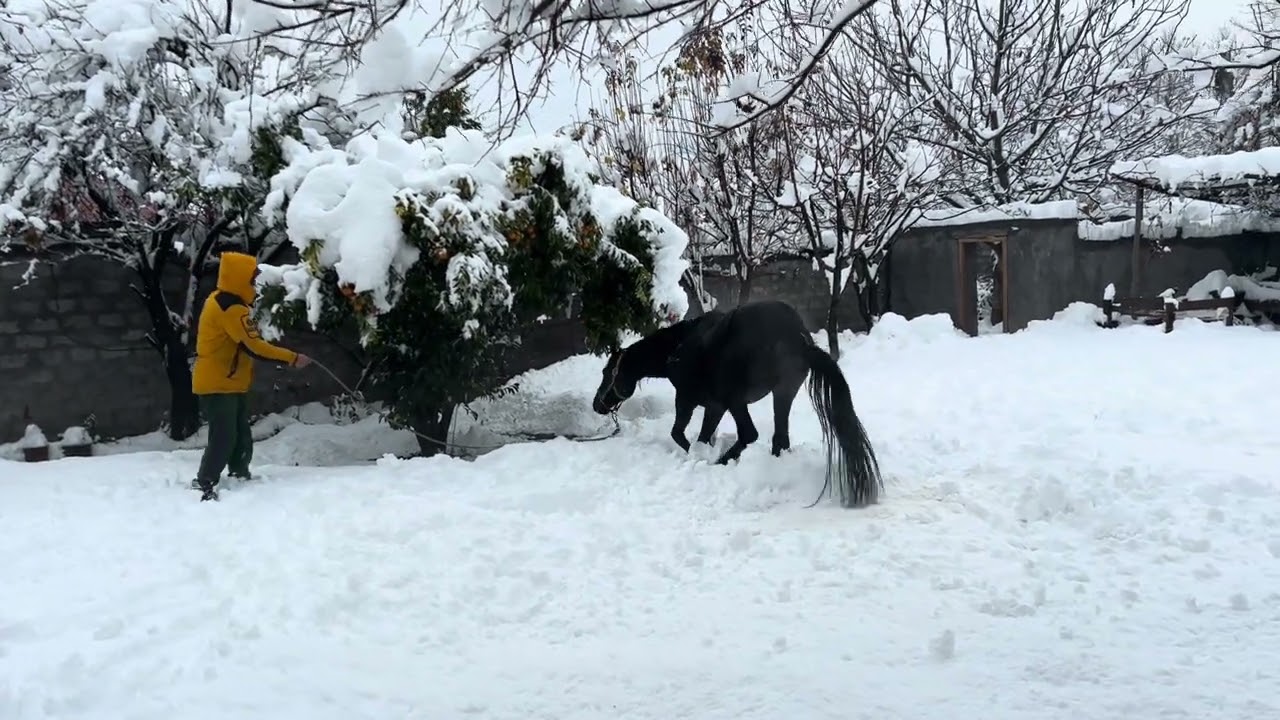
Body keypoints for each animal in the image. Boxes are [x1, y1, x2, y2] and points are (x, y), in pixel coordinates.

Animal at [591, 299, 883, 508]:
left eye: (607, 372)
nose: (597, 405)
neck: (677, 350)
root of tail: (798, 339)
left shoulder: (687, 400)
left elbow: (679, 434)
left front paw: (698, 456)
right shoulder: (715, 406)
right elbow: (704, 434)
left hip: (737, 400)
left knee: (749, 434)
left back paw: (722, 462)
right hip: (781, 394)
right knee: (779, 438)